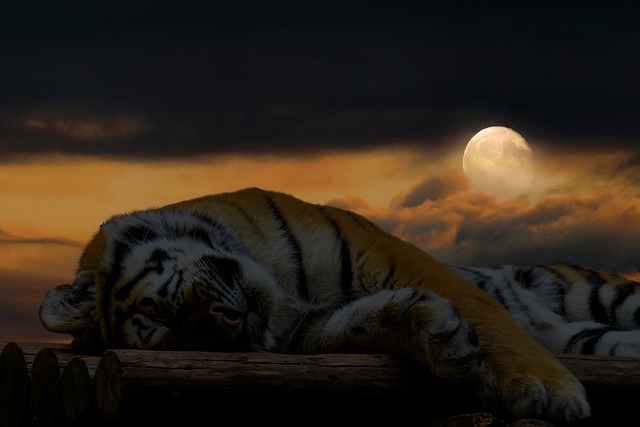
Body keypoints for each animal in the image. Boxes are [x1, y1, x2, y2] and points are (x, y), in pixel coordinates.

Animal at [40, 187, 593, 422]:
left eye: (163, 313)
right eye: (181, 339)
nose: (233, 326)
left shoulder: (386, 252)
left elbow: (481, 309)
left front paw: (544, 389)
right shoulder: (304, 331)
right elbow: (358, 324)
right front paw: (438, 333)